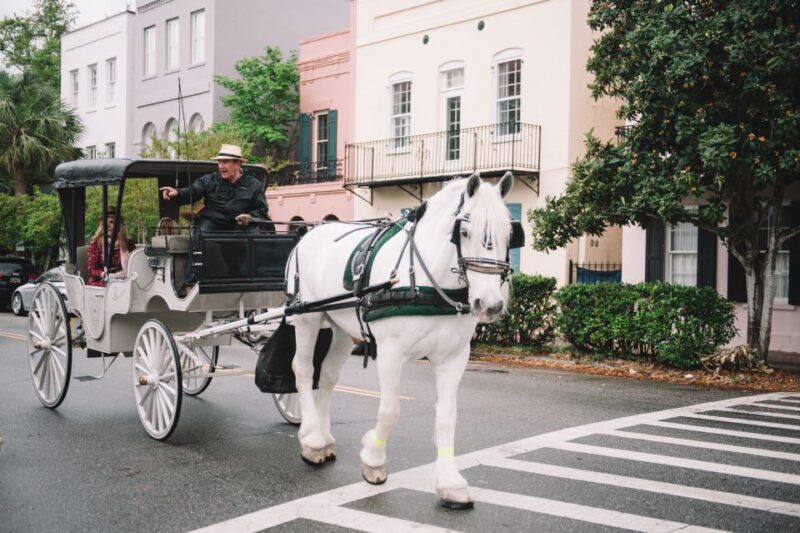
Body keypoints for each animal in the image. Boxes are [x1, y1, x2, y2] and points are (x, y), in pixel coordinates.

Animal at [285, 172, 517, 508]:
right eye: (464, 231)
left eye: (510, 233)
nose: (489, 304)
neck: (423, 279)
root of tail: (310, 232)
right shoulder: (391, 352)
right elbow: (390, 409)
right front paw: (373, 459)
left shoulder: (454, 356)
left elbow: (447, 416)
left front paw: (449, 483)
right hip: (307, 318)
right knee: (302, 371)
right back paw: (312, 440)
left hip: (341, 328)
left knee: (326, 377)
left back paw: (324, 438)